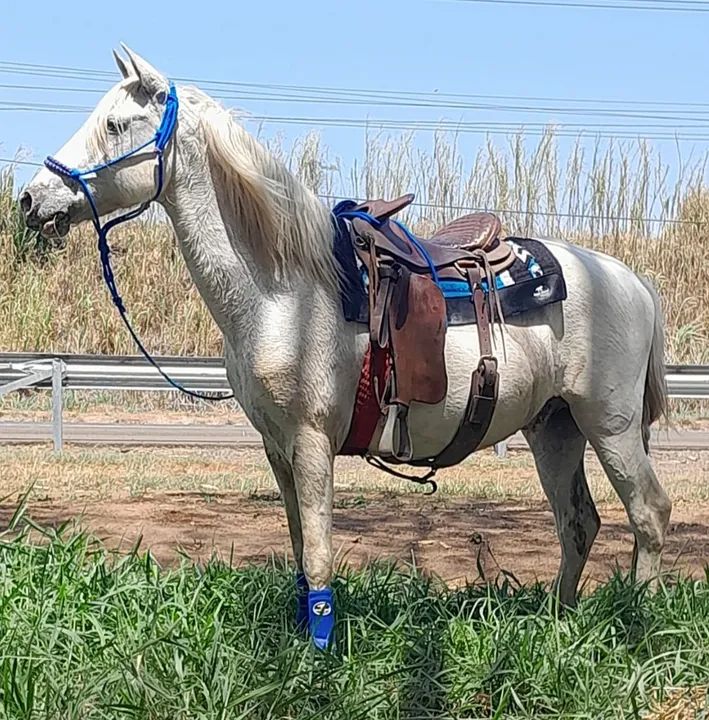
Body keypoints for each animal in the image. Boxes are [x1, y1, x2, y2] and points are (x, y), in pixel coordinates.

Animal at [20, 45, 672, 651]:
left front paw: (321, 654)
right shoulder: (277, 446)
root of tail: (628, 279)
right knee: (578, 522)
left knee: (649, 513)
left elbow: (318, 554)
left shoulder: (312, 442)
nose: (31, 199)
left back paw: (636, 623)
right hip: (554, 427)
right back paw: (559, 622)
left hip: (609, 426)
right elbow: (297, 546)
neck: (284, 292)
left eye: (115, 124)